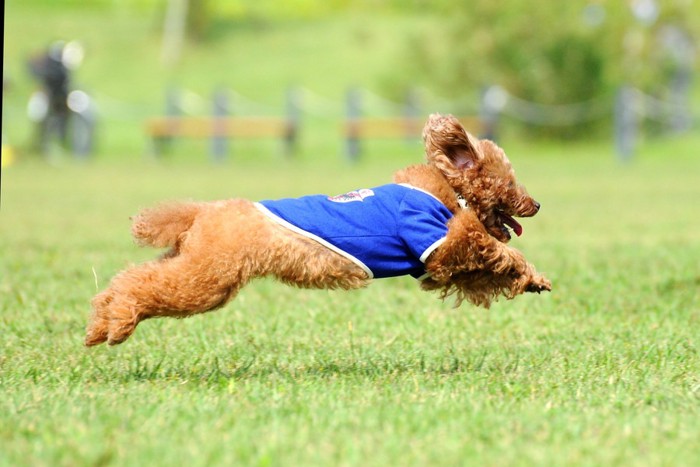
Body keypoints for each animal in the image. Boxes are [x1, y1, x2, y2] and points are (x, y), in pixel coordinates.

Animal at [85, 114, 548, 348]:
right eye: (510, 184)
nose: (537, 204)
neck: (450, 191)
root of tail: (203, 211)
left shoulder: (440, 267)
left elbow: (485, 271)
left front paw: (532, 281)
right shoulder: (437, 244)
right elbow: (486, 245)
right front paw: (527, 271)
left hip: (191, 262)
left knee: (132, 277)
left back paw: (101, 321)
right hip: (206, 279)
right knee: (145, 286)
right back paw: (116, 325)